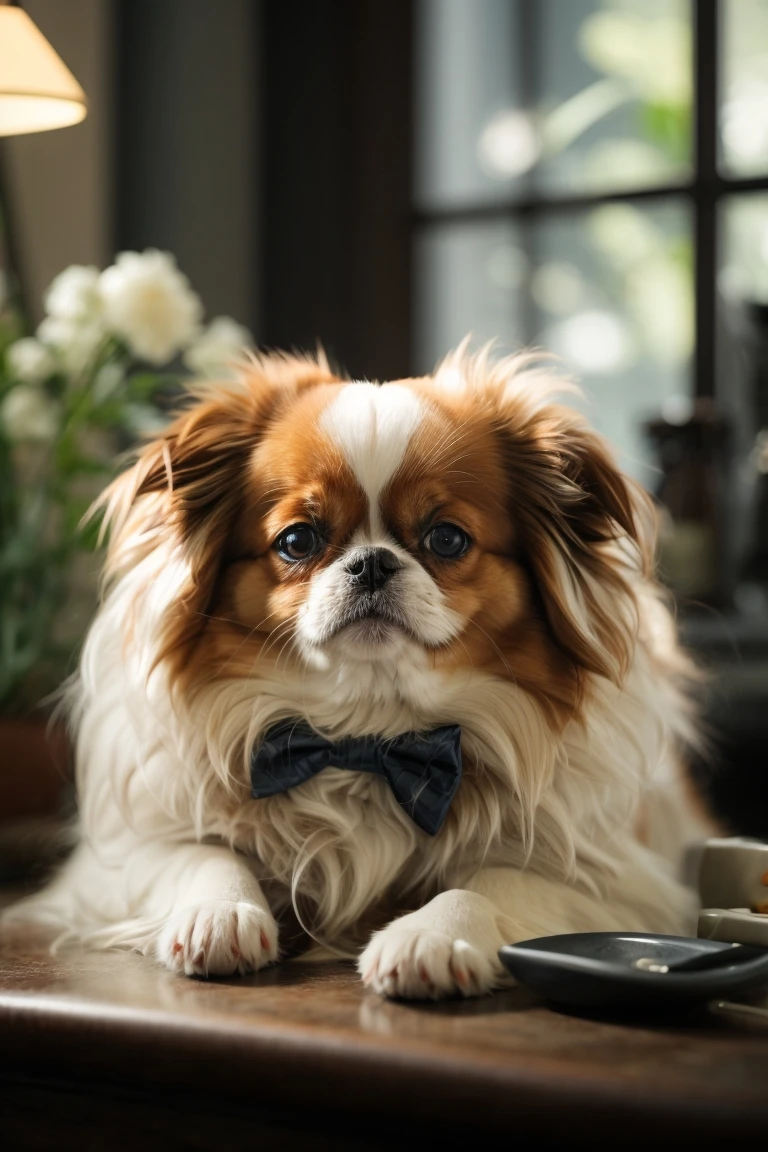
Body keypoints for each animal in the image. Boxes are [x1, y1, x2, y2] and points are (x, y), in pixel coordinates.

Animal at [6, 343, 713, 999]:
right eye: (297, 540)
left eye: (447, 538)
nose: (371, 561)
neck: (366, 736)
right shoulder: (119, 861)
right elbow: (199, 856)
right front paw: (220, 914)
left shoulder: (614, 879)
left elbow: (493, 883)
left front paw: (432, 936)